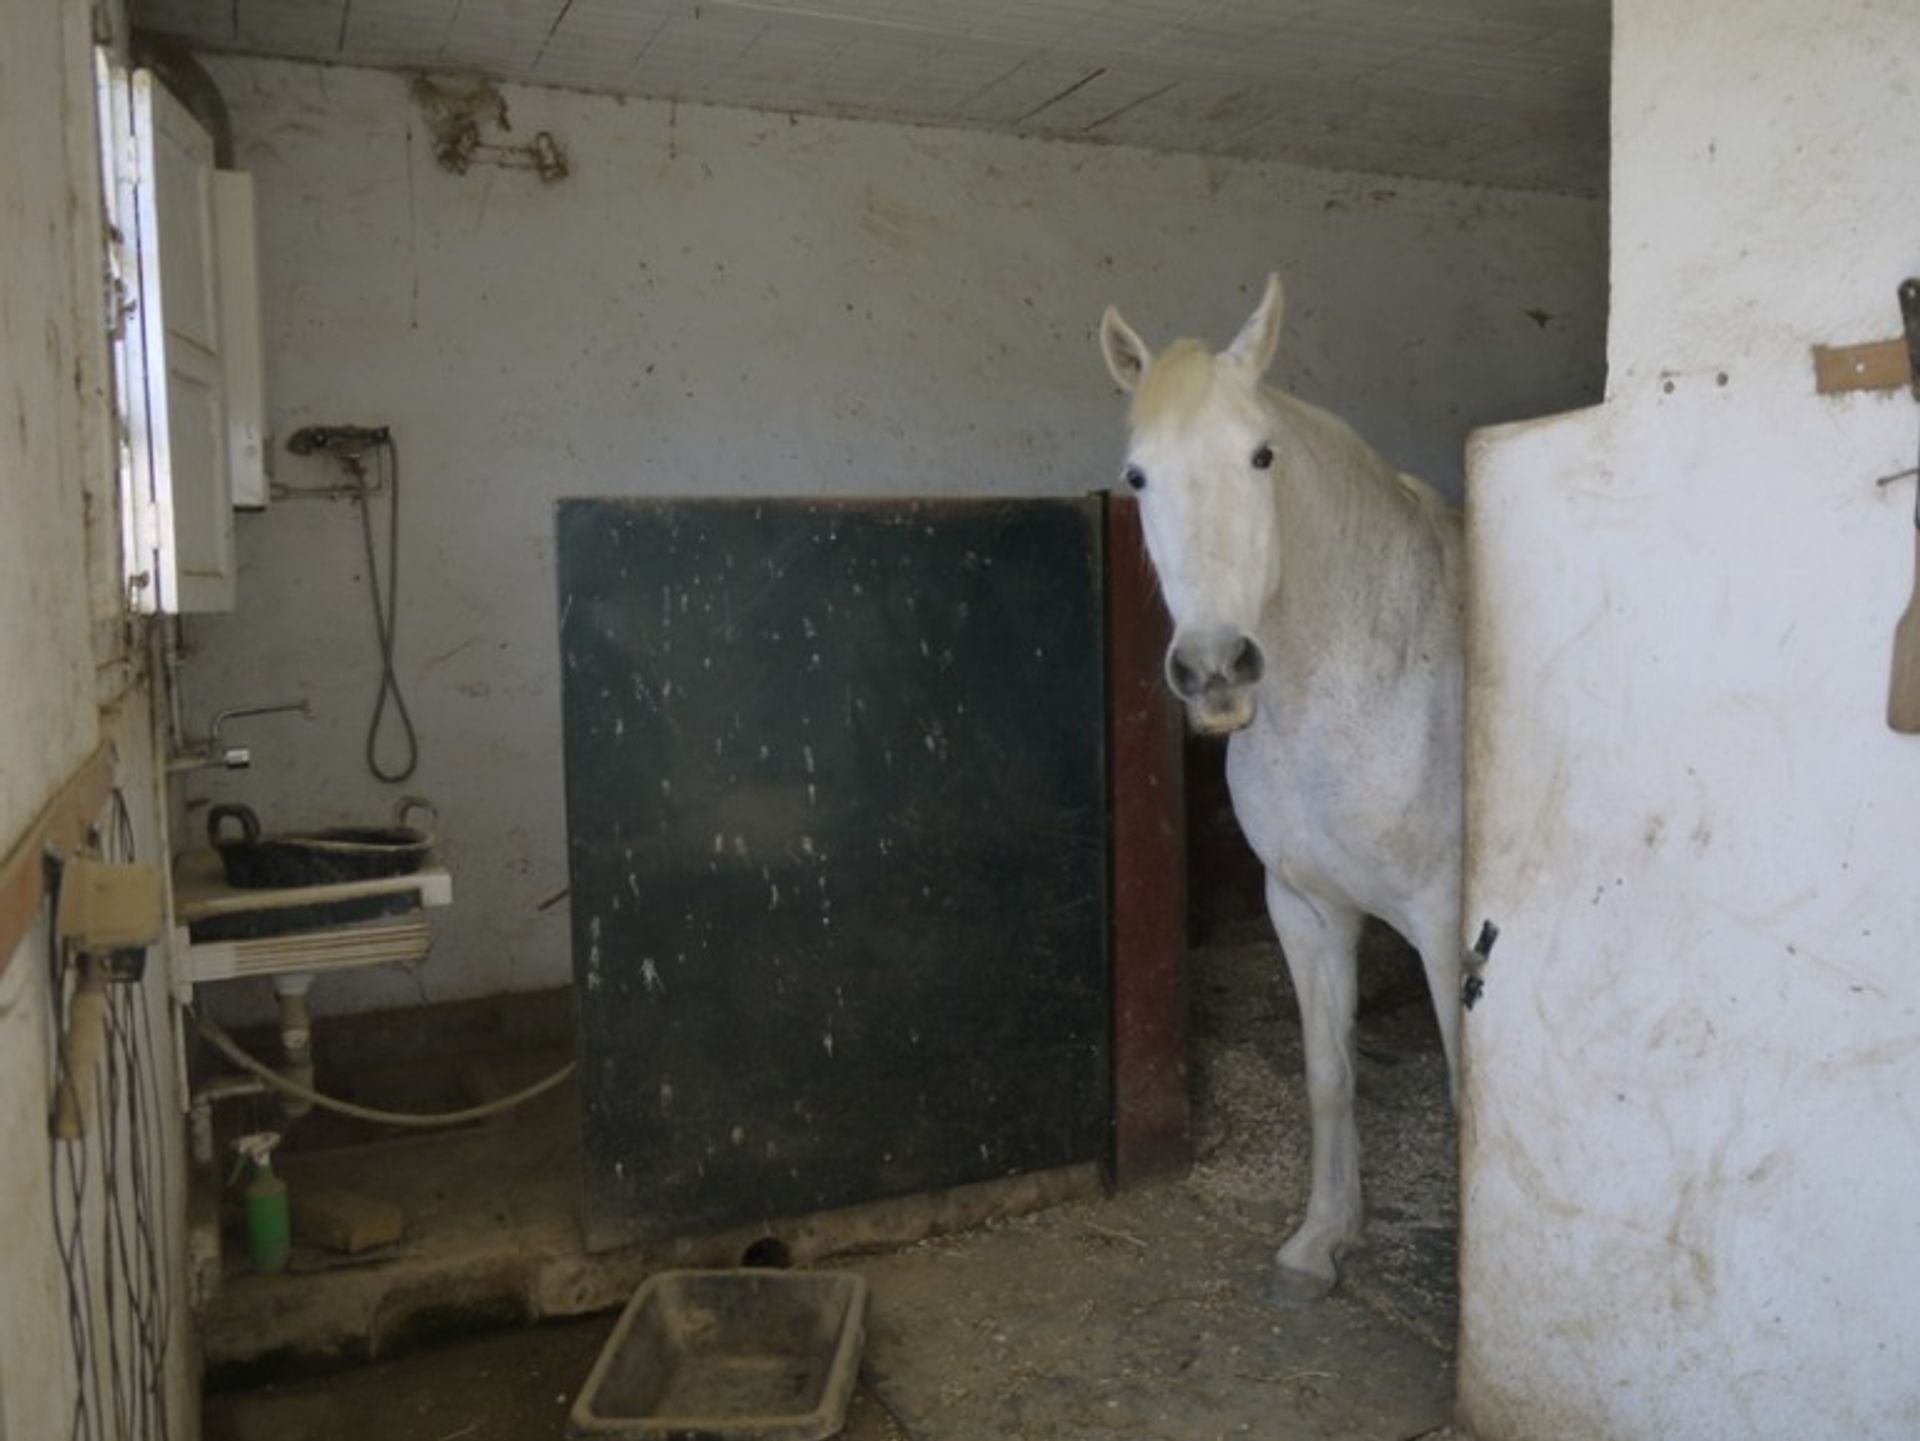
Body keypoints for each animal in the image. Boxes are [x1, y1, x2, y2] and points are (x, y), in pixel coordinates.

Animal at [1105, 276, 1459, 1304]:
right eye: (1137, 478)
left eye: (1261, 455)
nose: (1218, 669)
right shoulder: (1304, 909)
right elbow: (1328, 1076)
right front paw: (1320, 1241)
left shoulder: (1446, 920)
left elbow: (1469, 1093)